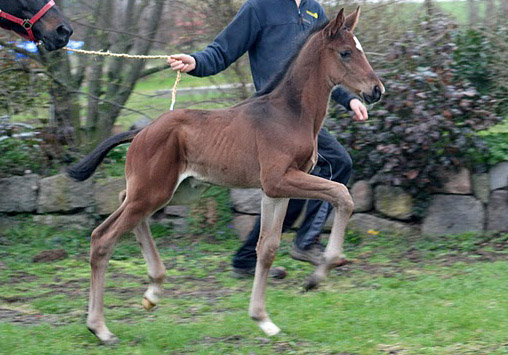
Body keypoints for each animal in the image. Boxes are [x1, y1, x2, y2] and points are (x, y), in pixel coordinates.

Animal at [68, 8, 384, 344]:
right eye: (346, 52)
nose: (376, 90)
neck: (288, 114)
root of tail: (141, 132)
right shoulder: (279, 179)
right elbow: (342, 194)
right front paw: (318, 275)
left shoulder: (276, 190)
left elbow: (267, 248)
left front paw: (263, 319)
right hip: (155, 191)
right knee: (103, 238)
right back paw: (100, 328)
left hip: (176, 190)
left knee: (122, 201)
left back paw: (153, 290)